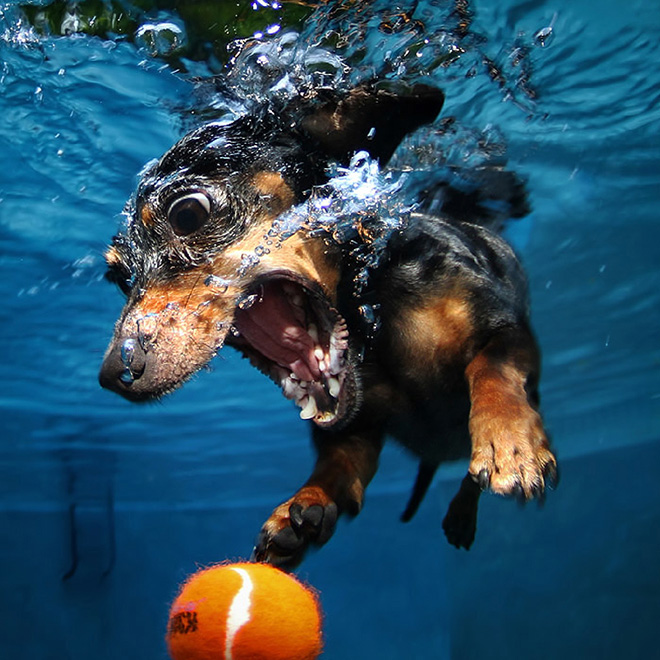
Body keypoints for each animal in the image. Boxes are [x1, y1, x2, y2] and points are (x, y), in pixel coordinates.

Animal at [99, 82, 556, 568]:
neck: (368, 317)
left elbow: (493, 369)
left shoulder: (509, 331)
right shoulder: (354, 430)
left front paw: (510, 440)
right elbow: (337, 468)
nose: (112, 374)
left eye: (187, 213)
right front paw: (302, 507)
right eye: (118, 277)